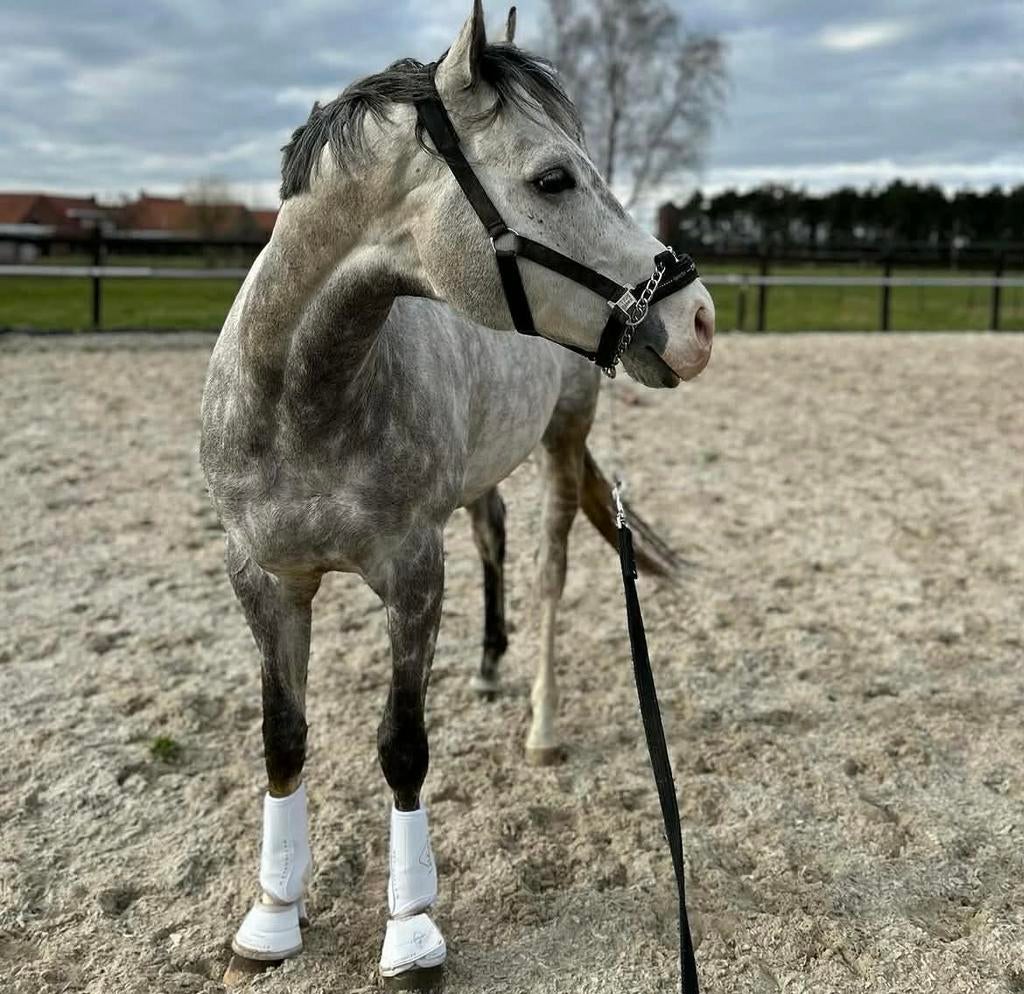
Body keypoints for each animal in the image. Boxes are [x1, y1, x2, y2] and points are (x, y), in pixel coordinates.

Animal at [199, 2, 715, 986]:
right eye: (553, 178)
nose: (698, 319)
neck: (302, 400)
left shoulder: (411, 574)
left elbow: (403, 747)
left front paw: (412, 933)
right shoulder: (265, 580)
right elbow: (283, 736)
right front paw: (272, 918)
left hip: (563, 444)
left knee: (550, 569)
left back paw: (541, 725)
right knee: (495, 534)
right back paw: (484, 666)